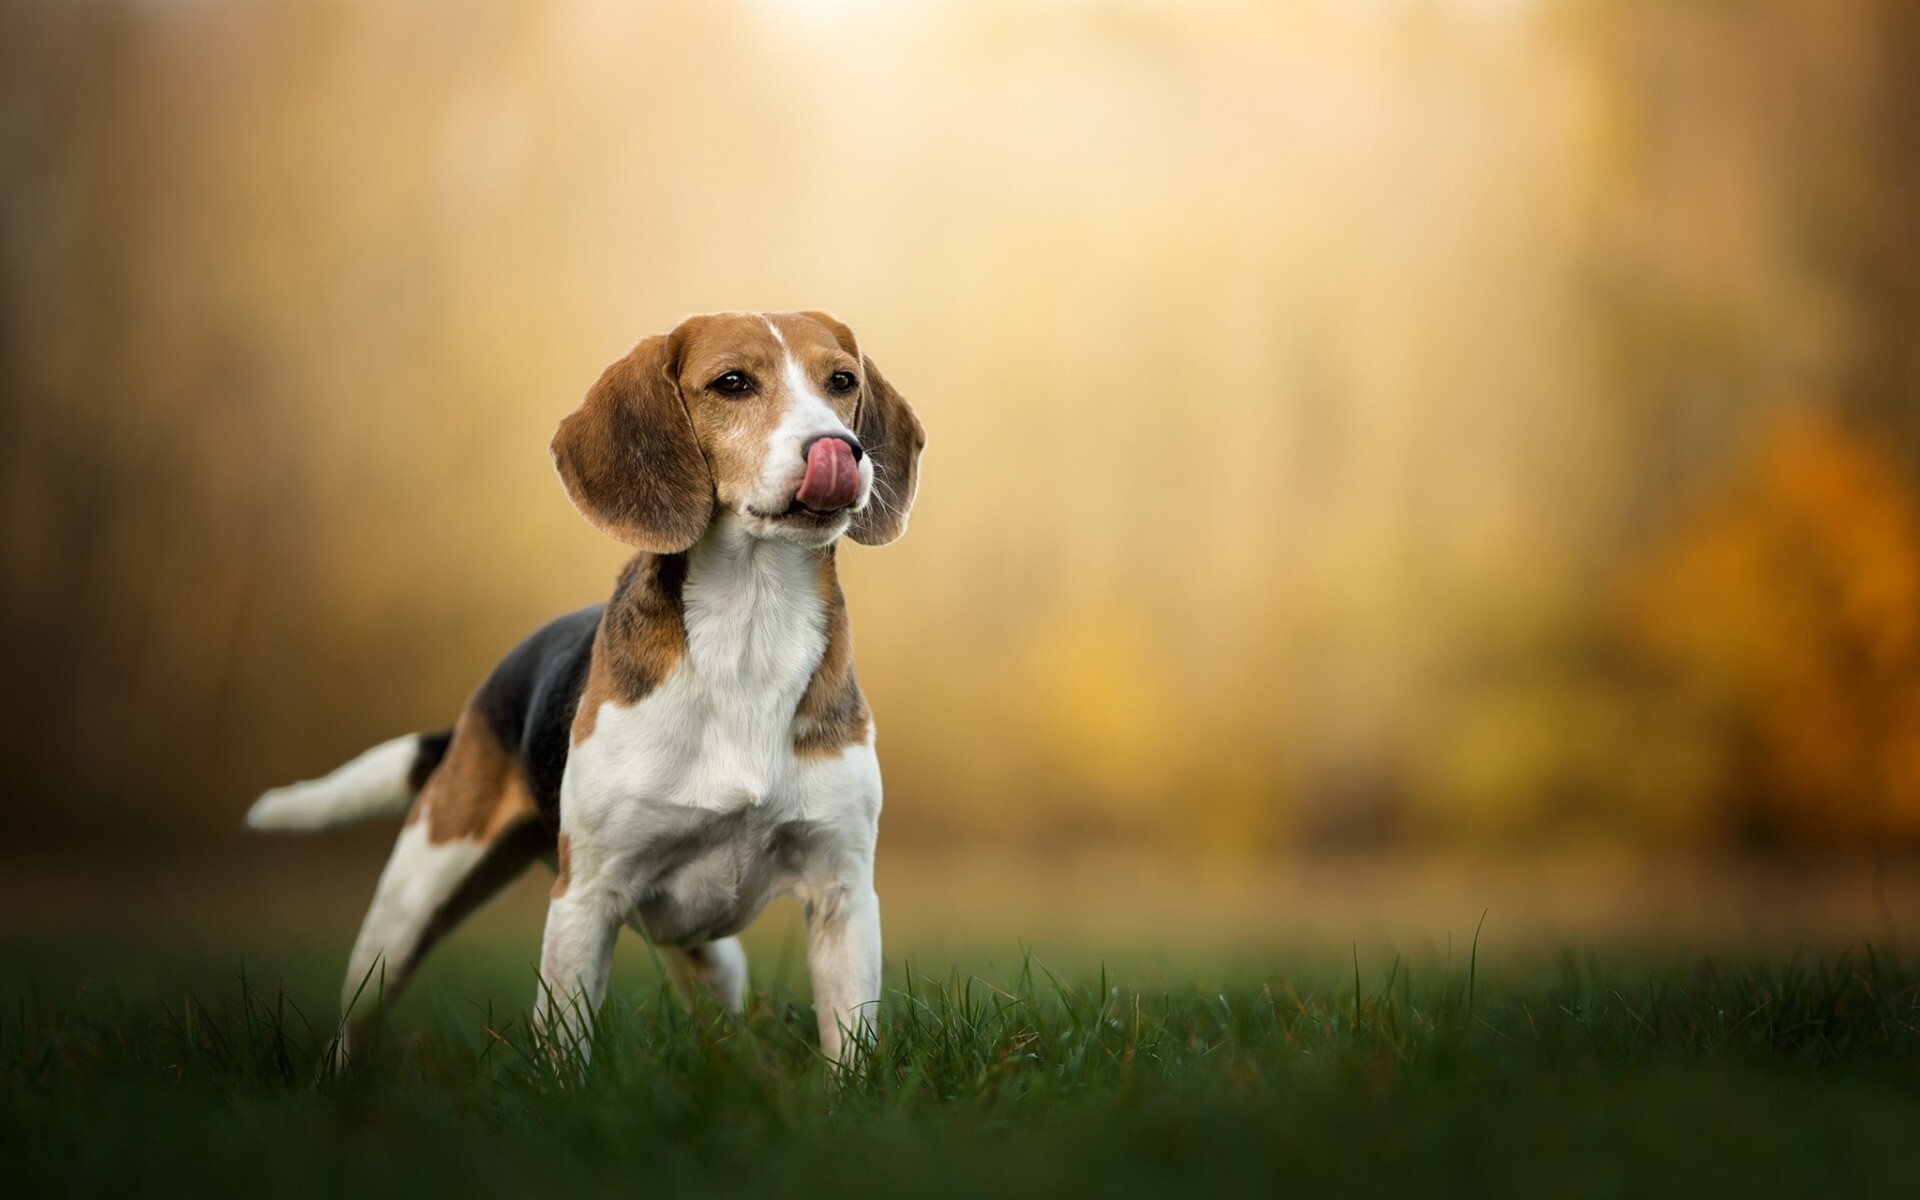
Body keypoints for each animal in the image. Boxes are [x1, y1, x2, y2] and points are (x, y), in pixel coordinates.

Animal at [245, 309, 929, 1059]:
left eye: (842, 382)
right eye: (732, 383)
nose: (841, 450)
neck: (751, 629)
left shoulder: (843, 894)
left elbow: (851, 1045)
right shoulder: (586, 898)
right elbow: (566, 1046)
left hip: (710, 955)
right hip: (411, 901)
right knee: (359, 1016)